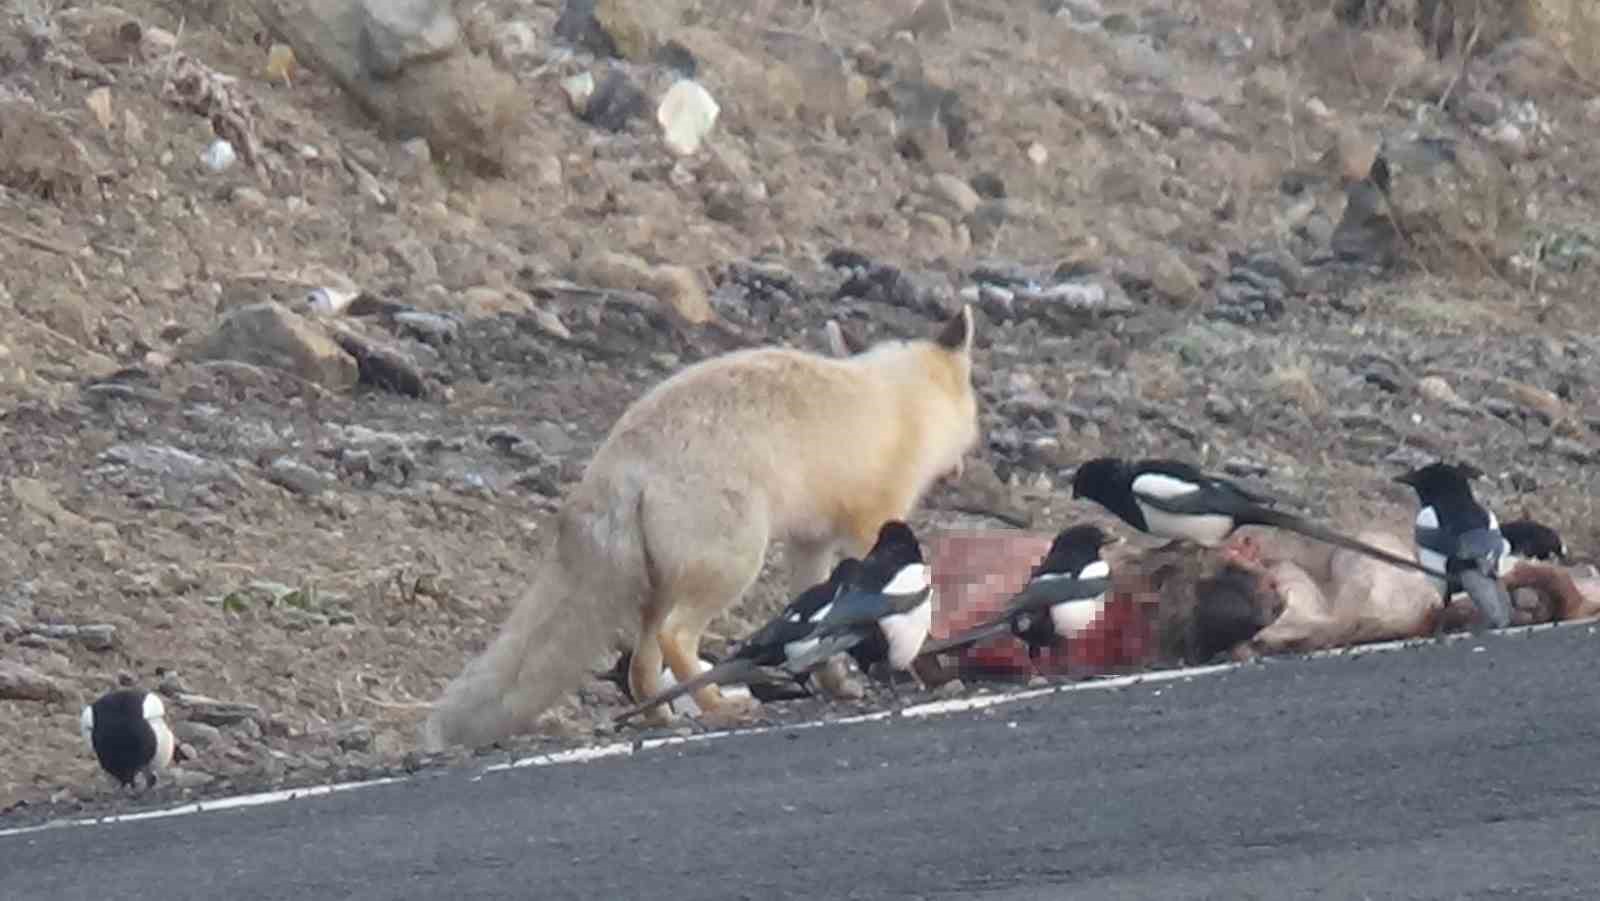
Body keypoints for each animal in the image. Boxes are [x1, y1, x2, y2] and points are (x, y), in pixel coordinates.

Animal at [419, 307, 979, 752]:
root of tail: (619, 456)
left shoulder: (810, 543)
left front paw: (835, 682)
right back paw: (714, 703)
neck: (903, 399)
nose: (961, 469)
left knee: (641, 666)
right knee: (676, 637)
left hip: (659, 585)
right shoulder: (873, 523)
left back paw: (659, 715)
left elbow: (821, 619)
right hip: (731, 565)